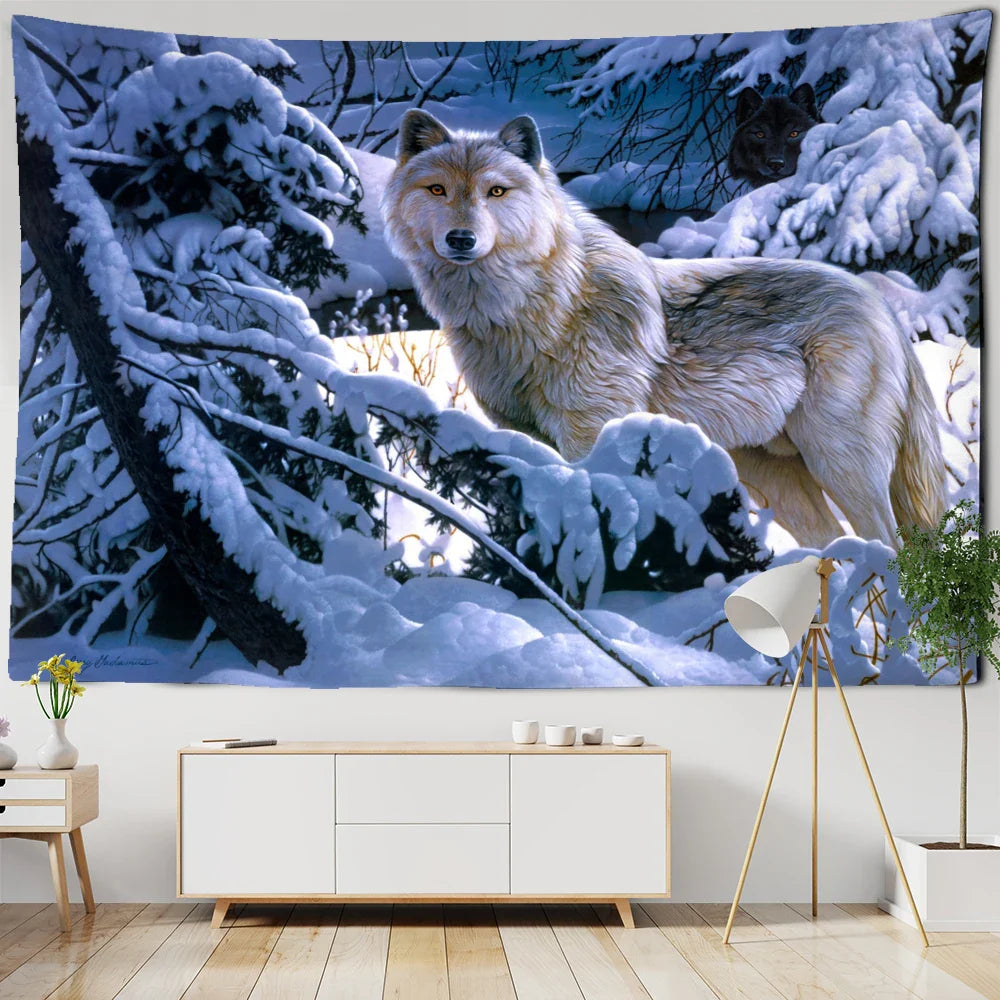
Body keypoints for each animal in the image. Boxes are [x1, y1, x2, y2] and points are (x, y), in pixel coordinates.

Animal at [382, 110, 945, 549]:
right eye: (438, 189)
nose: (461, 238)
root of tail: (881, 305)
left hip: (840, 466)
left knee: (893, 549)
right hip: (775, 480)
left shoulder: (592, 435)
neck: (531, 310)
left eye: (495, 191)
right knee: (838, 547)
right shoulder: (522, 436)